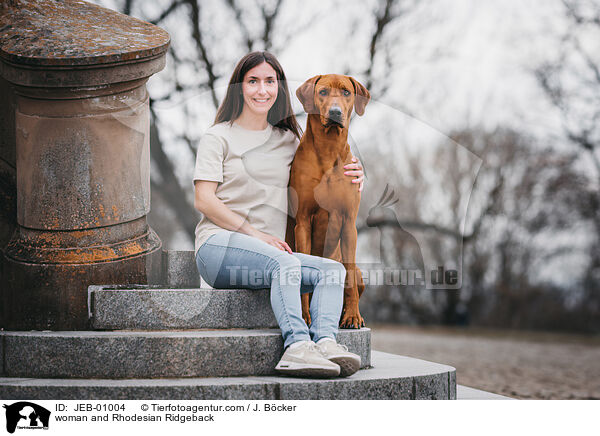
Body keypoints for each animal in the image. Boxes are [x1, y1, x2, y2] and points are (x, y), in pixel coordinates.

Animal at [288, 74, 368, 328]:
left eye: (346, 92)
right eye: (322, 92)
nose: (335, 112)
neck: (328, 148)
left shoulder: (349, 221)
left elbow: (349, 275)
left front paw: (353, 316)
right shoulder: (303, 221)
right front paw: (304, 315)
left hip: (357, 271)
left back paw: (344, 313)